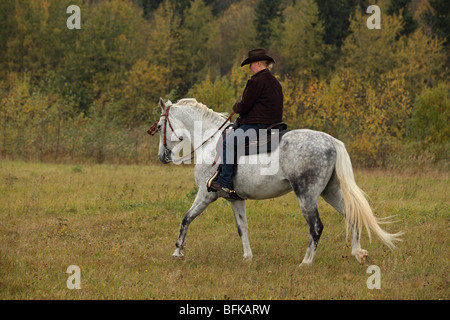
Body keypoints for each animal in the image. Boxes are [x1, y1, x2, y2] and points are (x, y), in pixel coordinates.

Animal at [149, 97, 402, 264]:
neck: (210, 141)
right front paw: (248, 257)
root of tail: (331, 141)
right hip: (330, 192)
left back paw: (305, 263)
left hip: (307, 195)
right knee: (352, 215)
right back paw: (358, 253)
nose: (162, 157)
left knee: (316, 227)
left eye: (160, 126)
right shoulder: (235, 199)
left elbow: (186, 218)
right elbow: (242, 228)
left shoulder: (206, 194)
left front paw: (178, 251)